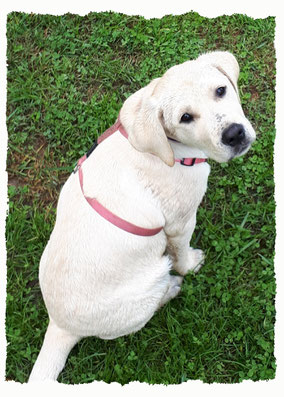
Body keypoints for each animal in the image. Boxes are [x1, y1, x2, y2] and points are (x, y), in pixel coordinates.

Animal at [28, 50, 255, 380]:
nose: (234, 134)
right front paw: (191, 264)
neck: (169, 149)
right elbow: (182, 253)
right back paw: (172, 288)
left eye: (221, 90)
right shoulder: (180, 223)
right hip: (152, 279)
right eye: (185, 118)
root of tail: (59, 326)